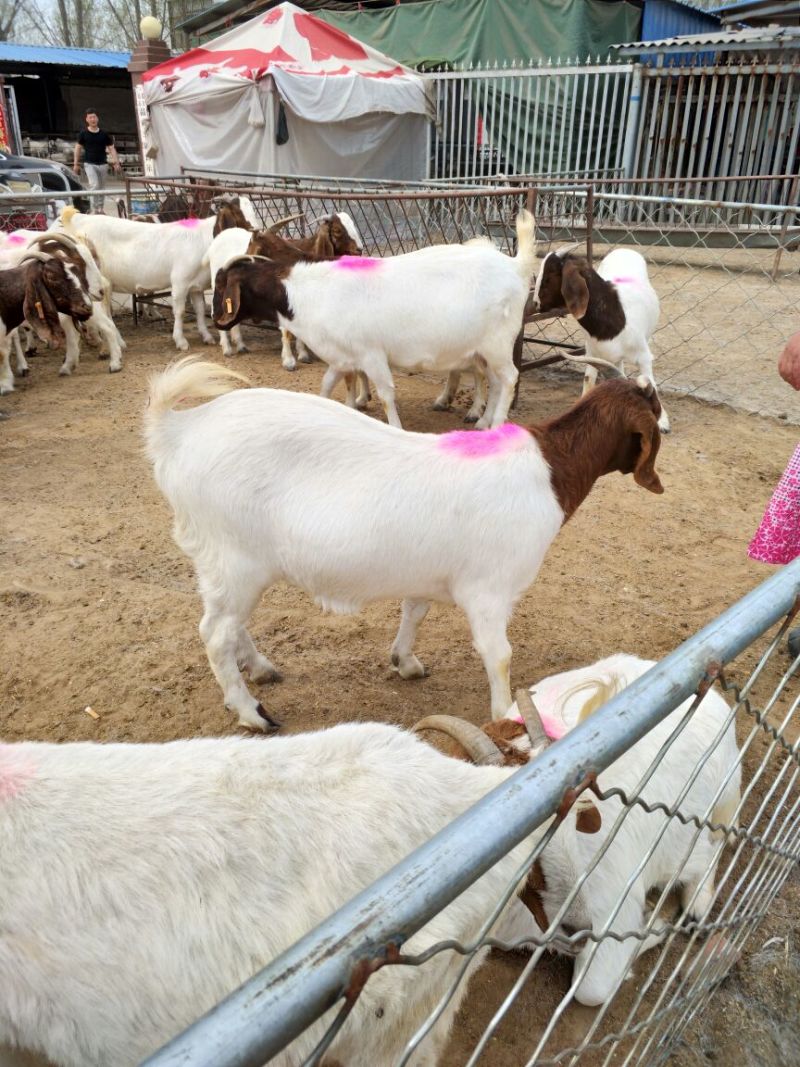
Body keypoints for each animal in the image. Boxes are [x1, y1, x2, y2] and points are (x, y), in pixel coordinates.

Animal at [144, 358, 665, 734]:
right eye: (655, 413)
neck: (550, 469)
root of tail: (177, 431)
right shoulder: (490, 589)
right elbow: (498, 654)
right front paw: (504, 713)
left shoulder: (430, 572)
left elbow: (415, 610)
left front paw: (405, 662)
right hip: (235, 558)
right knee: (215, 633)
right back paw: (253, 712)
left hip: (227, 563)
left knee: (229, 624)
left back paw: (261, 668)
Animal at [213, 210, 539, 426]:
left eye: (222, 284)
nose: (217, 320)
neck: (308, 290)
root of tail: (517, 265)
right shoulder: (342, 357)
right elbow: (327, 386)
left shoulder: (371, 353)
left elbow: (385, 395)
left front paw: (392, 425)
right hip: (485, 349)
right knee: (496, 381)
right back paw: (483, 422)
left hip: (497, 344)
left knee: (509, 378)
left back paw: (495, 424)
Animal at [422, 648, 742, 1007]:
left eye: (574, 817)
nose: (576, 927)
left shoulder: (614, 906)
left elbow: (591, 989)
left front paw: (656, 923)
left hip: (723, 797)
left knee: (717, 840)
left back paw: (698, 904)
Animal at [533, 247, 669, 431]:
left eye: (548, 277)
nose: (535, 304)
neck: (615, 316)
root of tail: (624, 249)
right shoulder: (593, 353)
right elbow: (588, 379)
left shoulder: (643, 357)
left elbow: (651, 382)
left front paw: (662, 421)